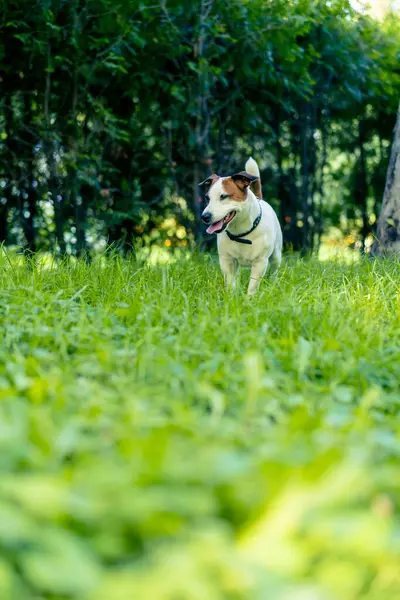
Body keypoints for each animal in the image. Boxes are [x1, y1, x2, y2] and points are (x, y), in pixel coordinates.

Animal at [199, 156, 282, 294]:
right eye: (207, 198)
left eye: (223, 196)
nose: (205, 216)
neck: (241, 233)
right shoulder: (227, 260)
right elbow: (230, 282)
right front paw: (231, 296)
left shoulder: (260, 262)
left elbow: (253, 285)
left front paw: (250, 297)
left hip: (276, 253)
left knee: (275, 267)